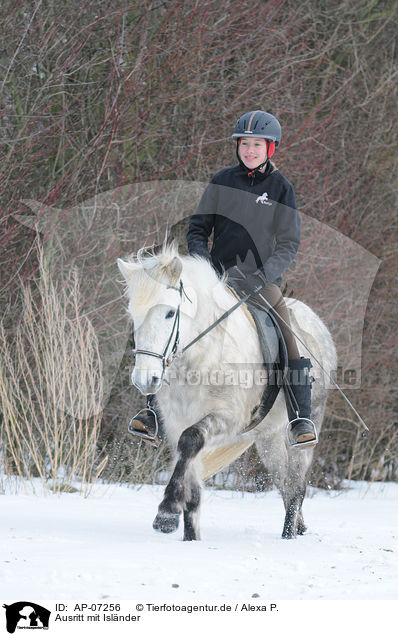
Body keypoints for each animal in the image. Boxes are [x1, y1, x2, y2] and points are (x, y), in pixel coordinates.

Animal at [117, 246, 336, 540]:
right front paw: (190, 537)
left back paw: (288, 534)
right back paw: (298, 527)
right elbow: (192, 482)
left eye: (170, 314)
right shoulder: (177, 423)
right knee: (283, 481)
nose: (144, 380)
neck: (202, 357)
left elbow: (190, 441)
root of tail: (317, 323)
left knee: (296, 484)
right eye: (133, 314)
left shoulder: (227, 417)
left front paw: (166, 512)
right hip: (269, 438)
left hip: (306, 429)